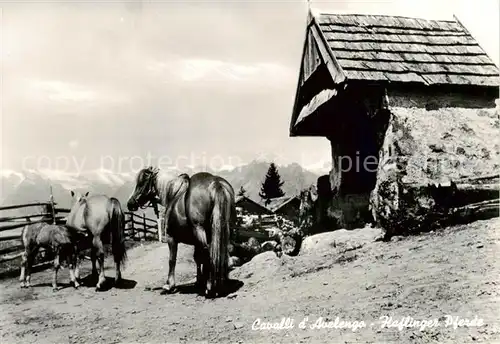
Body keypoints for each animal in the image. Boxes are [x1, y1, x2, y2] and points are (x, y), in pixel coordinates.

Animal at [127, 165, 236, 296]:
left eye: (141, 182)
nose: (130, 203)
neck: (173, 194)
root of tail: (215, 183)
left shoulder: (171, 238)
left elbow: (172, 260)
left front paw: (169, 285)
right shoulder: (196, 242)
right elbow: (197, 258)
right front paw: (199, 281)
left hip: (199, 230)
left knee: (209, 253)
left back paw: (210, 286)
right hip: (225, 229)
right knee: (223, 251)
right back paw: (221, 282)